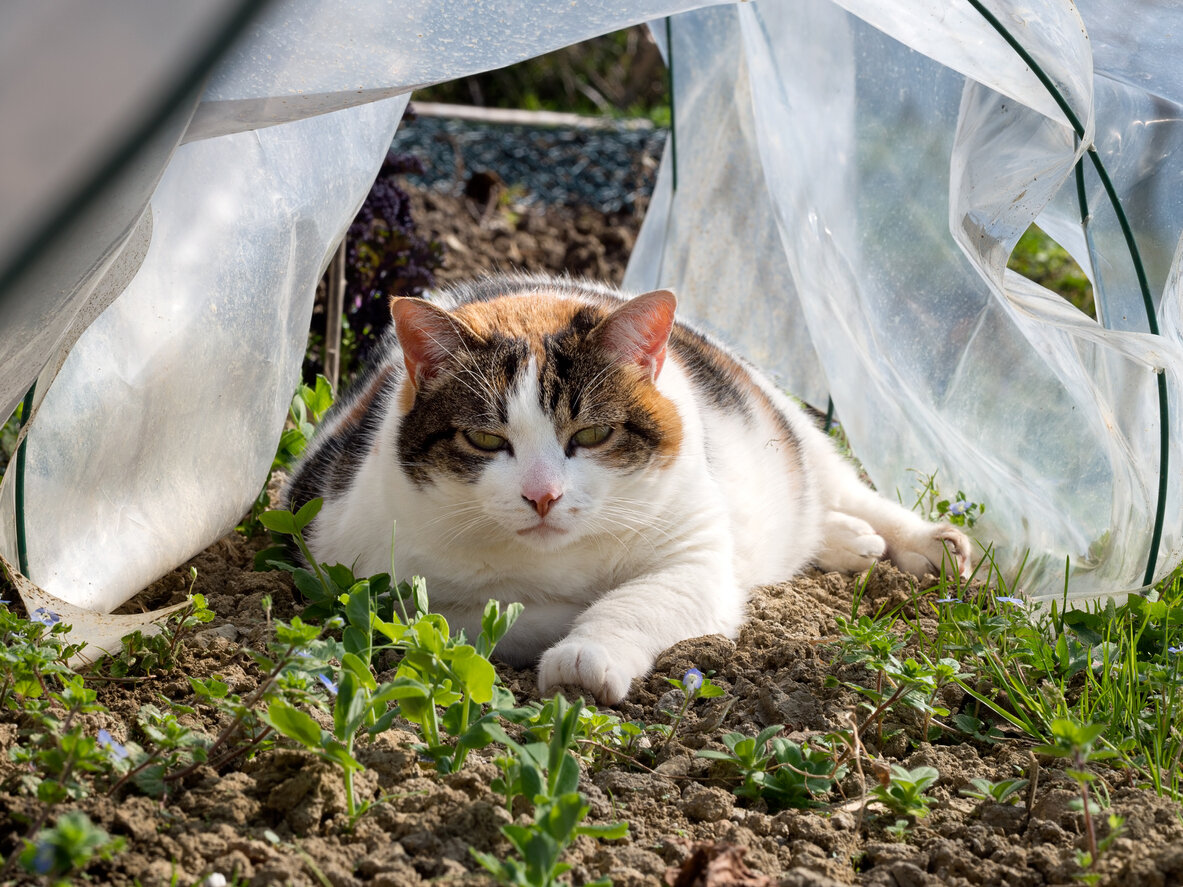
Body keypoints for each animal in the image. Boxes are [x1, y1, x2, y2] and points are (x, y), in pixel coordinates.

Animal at [283, 274, 970, 704]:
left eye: (592, 433)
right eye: (483, 440)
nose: (543, 496)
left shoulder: (694, 557)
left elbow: (638, 599)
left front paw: (585, 654)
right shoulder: (357, 576)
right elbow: (488, 616)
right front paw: (557, 618)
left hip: (786, 423)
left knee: (843, 485)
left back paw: (925, 544)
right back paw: (850, 543)